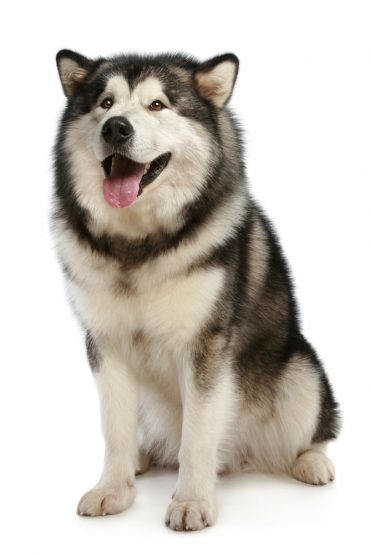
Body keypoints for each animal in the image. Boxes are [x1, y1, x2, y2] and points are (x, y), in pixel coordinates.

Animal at [52, 50, 342, 532]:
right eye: (106, 103)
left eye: (158, 105)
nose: (116, 128)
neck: (139, 245)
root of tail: (242, 457)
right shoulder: (106, 343)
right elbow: (114, 428)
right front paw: (113, 489)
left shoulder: (205, 346)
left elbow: (198, 433)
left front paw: (191, 500)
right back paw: (141, 458)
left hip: (302, 374)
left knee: (315, 430)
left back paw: (311, 462)